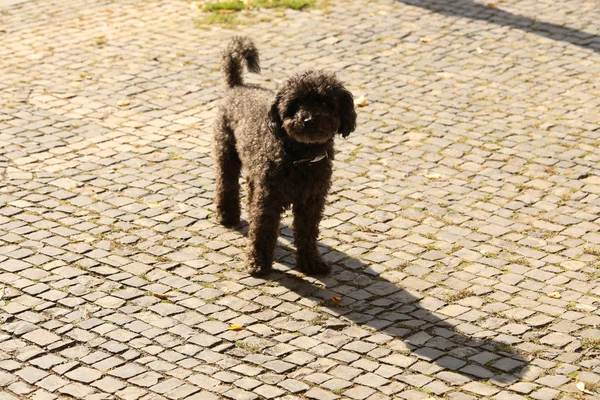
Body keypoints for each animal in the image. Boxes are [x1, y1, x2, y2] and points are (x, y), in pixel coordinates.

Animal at [213, 36, 356, 276]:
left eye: (325, 102)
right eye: (295, 103)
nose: (308, 120)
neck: (302, 158)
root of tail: (238, 85)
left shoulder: (311, 202)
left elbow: (307, 234)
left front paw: (311, 263)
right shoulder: (269, 199)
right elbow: (263, 231)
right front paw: (258, 263)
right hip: (226, 154)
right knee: (227, 185)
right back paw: (227, 216)